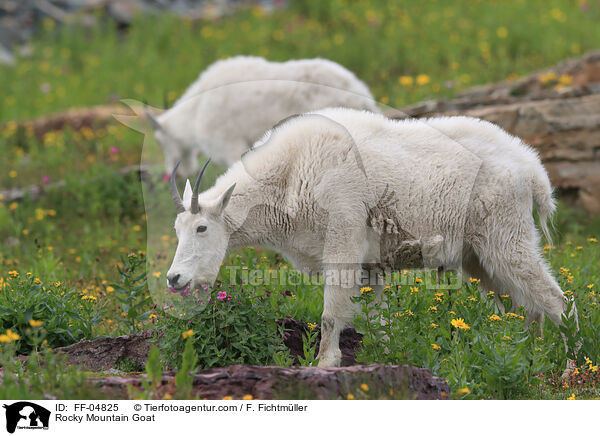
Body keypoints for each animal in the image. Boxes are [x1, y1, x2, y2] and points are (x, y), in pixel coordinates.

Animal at [165, 107, 576, 366]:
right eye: (177, 230)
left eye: (202, 228)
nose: (174, 278)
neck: (289, 174)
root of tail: (533, 171)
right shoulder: (371, 265)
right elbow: (378, 324)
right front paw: (389, 359)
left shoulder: (343, 240)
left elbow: (331, 313)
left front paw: (324, 364)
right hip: (479, 257)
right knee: (525, 307)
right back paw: (526, 354)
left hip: (505, 236)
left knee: (556, 301)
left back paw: (569, 364)